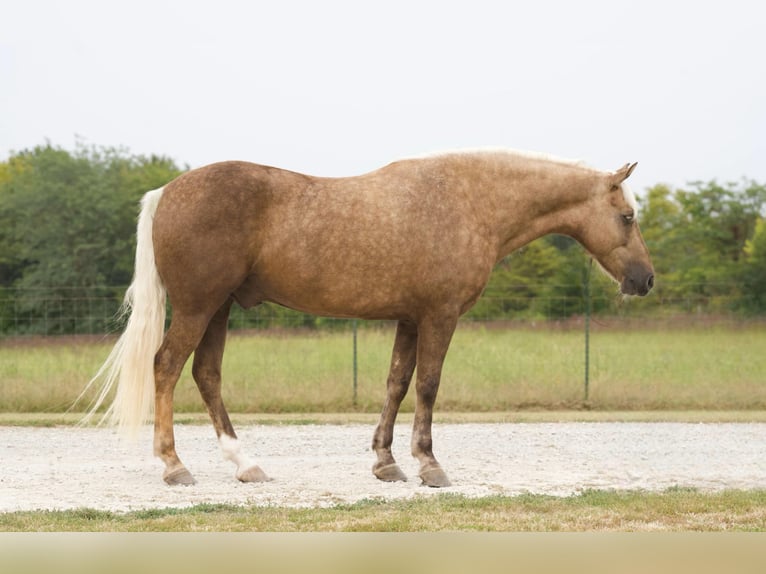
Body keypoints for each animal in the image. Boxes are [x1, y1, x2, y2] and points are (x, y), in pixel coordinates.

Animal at [82, 148, 654, 487]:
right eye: (627, 217)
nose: (645, 280)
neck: (470, 201)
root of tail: (166, 193)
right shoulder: (439, 316)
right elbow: (427, 384)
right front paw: (429, 465)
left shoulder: (410, 318)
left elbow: (396, 383)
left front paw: (386, 462)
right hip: (199, 306)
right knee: (167, 367)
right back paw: (174, 466)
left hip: (218, 308)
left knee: (206, 373)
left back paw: (246, 464)